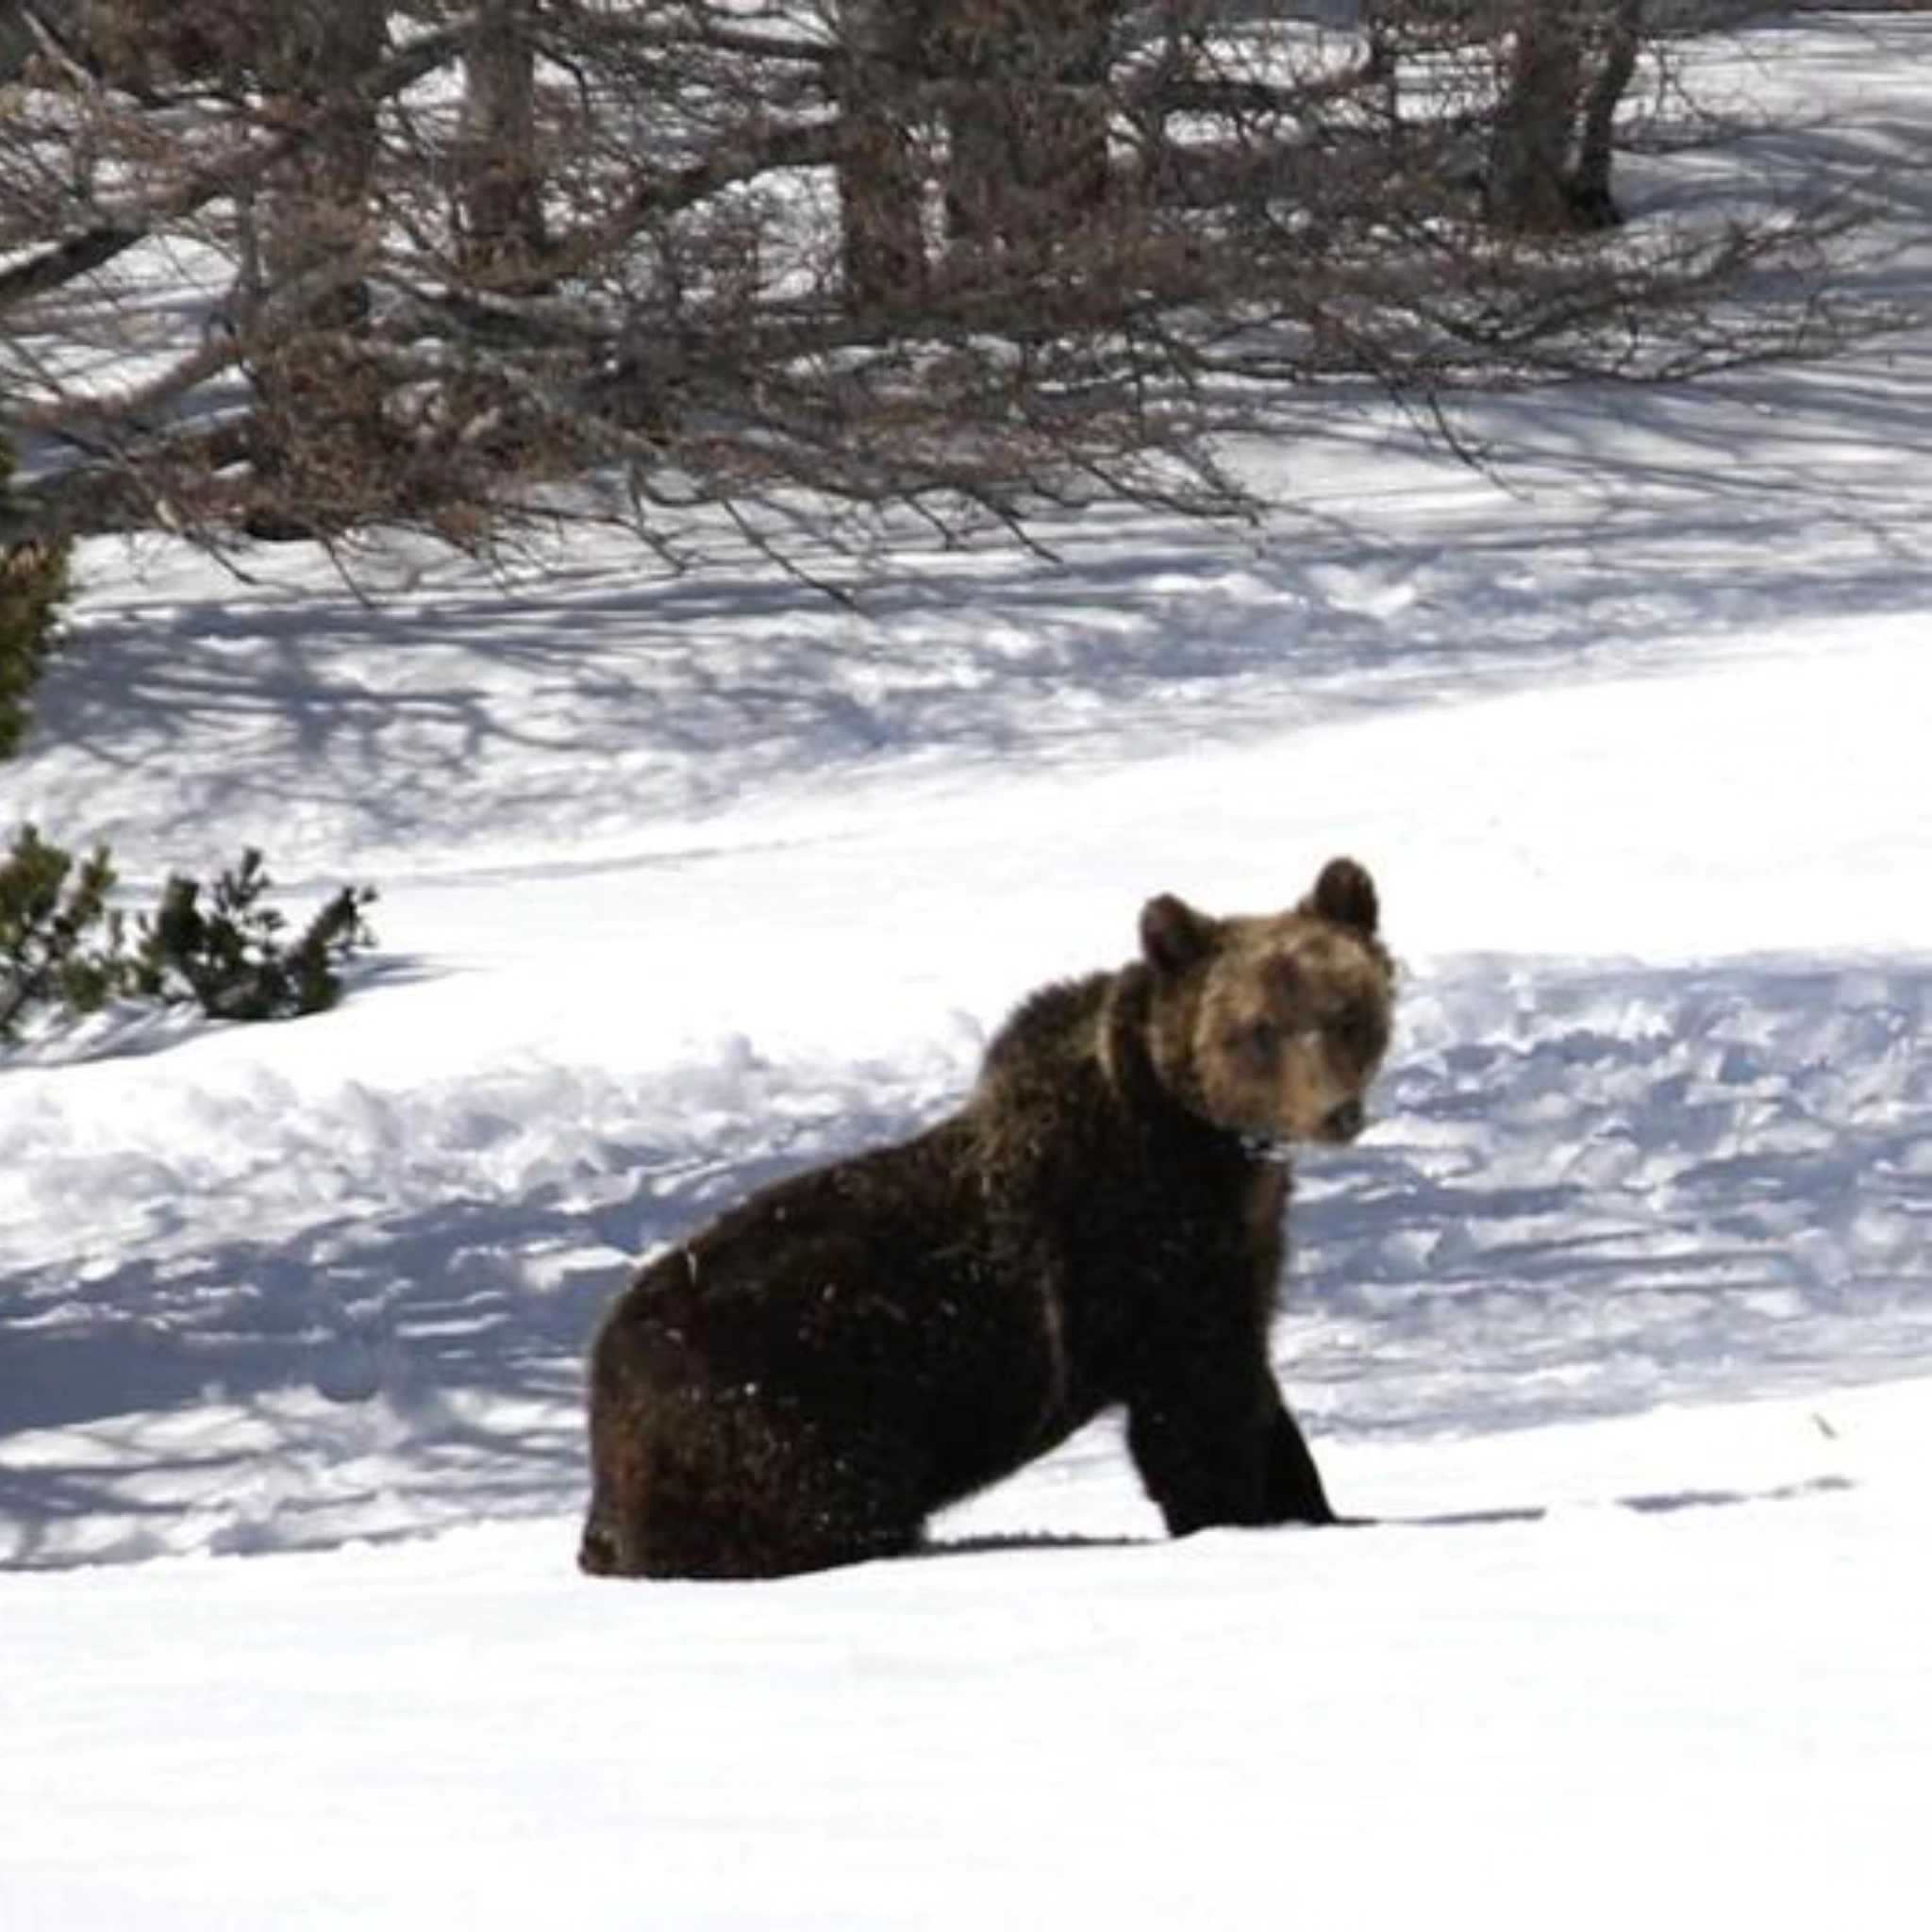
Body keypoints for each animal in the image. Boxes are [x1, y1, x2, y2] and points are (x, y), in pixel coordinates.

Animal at [579, 854, 1398, 1576]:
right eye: (1259, 1030)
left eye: (1347, 1014)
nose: (1336, 1112)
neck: (1203, 1149)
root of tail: (600, 1371)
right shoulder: (1137, 1257)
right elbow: (1196, 1413)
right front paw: (1233, 1517)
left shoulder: (1238, 1251)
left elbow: (1254, 1389)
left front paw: (1314, 1506)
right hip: (782, 1410)